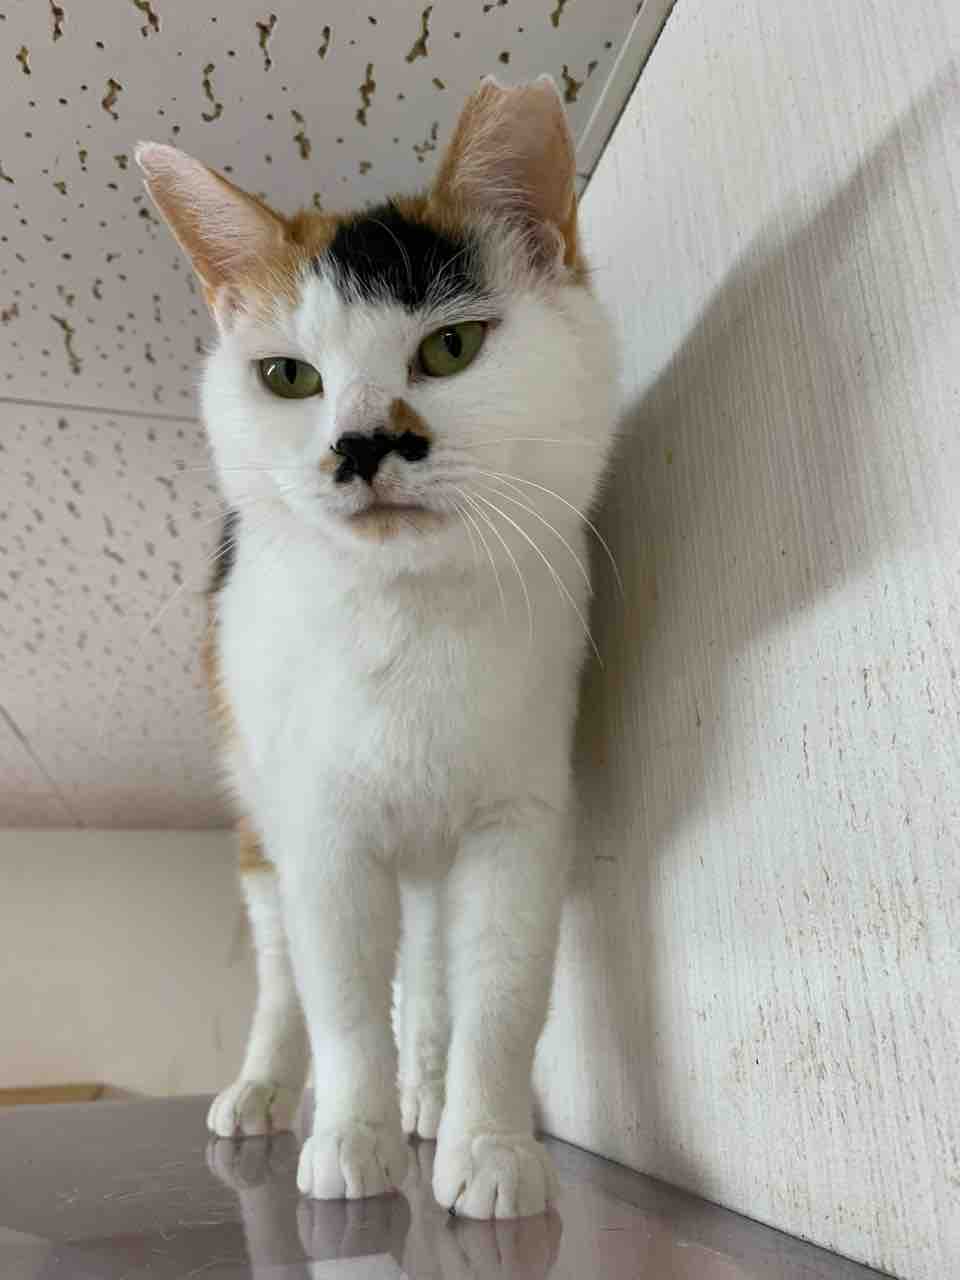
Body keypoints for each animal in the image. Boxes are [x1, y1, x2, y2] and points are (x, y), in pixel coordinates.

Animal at [136, 74, 619, 1221]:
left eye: (450, 348)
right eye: (286, 375)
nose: (362, 443)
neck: (406, 619)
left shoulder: (517, 819)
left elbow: (499, 994)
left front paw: (487, 1145)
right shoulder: (323, 836)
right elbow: (346, 1004)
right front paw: (352, 1140)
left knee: (433, 977)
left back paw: (430, 1095)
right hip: (259, 827)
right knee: (283, 982)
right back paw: (266, 1092)